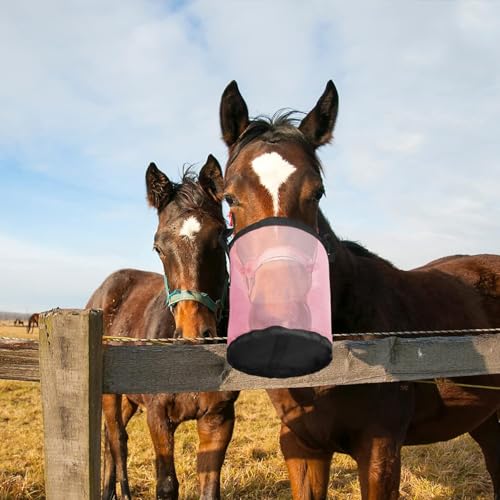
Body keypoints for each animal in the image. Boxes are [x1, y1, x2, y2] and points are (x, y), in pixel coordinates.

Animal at [86, 156, 238, 500]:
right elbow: (166, 485)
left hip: (130, 399)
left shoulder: (218, 418)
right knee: (117, 441)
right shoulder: (158, 416)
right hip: (110, 397)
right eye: (158, 247)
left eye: (221, 237)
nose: (194, 335)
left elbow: (209, 488)